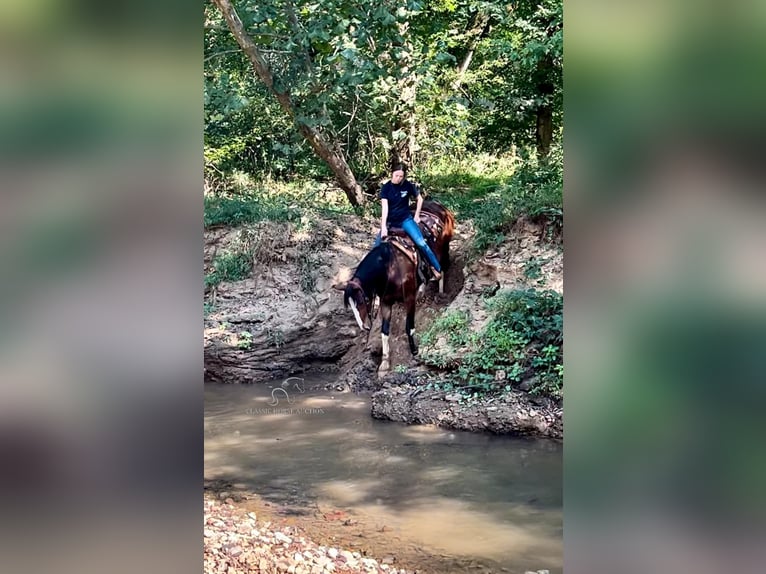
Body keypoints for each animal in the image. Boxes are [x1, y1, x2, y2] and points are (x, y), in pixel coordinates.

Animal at [344, 200, 456, 376]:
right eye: (350, 306)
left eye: (363, 301)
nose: (365, 327)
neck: (389, 268)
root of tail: (440, 207)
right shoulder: (385, 302)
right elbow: (384, 331)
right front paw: (384, 363)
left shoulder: (408, 298)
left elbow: (409, 326)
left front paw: (414, 351)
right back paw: (422, 291)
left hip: (444, 248)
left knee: (442, 267)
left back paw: (440, 291)